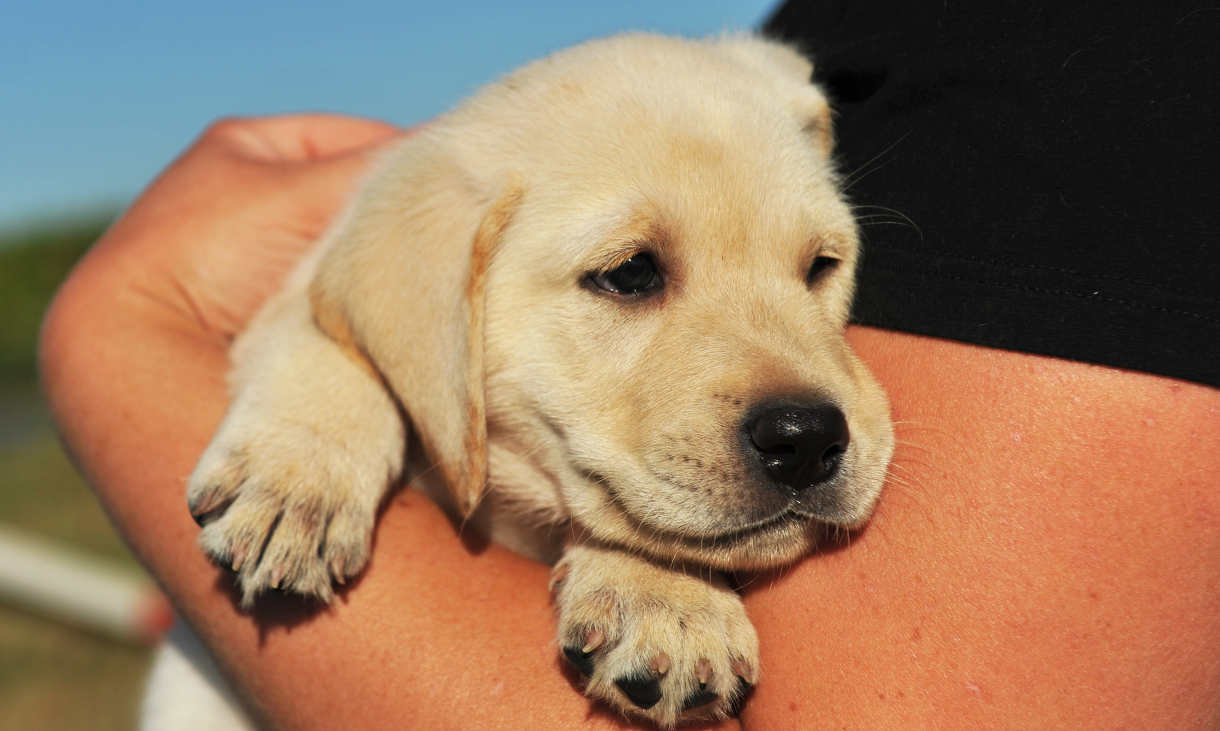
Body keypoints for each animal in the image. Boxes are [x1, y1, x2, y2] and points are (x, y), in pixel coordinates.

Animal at [180, 31, 893, 722]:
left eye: (822, 266)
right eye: (630, 273)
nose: (807, 437)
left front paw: (665, 596)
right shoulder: (305, 281)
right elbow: (322, 335)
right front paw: (297, 479)